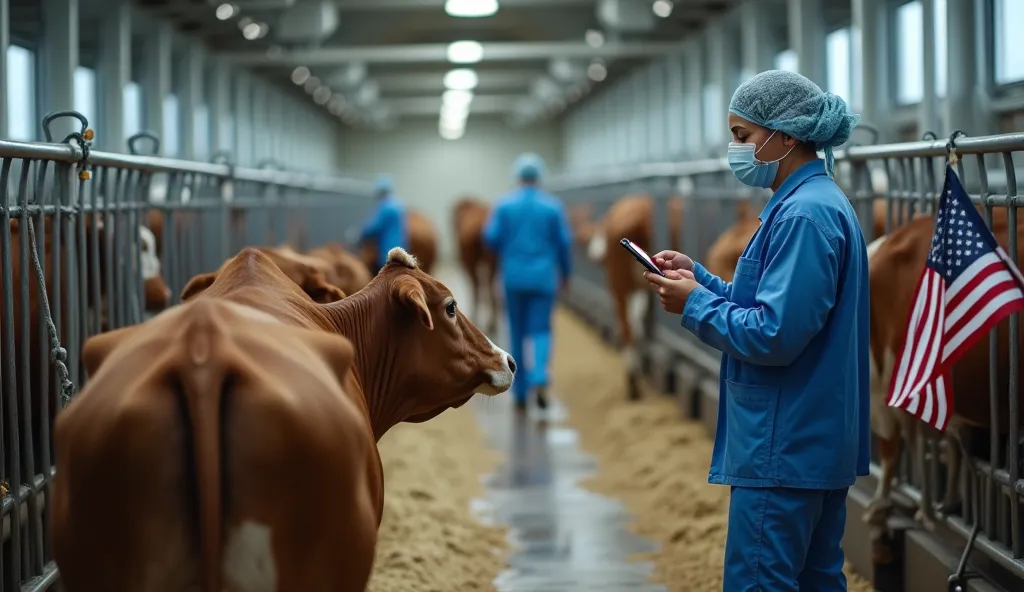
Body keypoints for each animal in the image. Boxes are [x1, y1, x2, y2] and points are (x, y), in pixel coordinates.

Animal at [581, 194, 684, 401]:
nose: (594, 256)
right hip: (621, 283)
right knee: (631, 326)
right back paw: (634, 382)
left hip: (618, 282)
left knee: (628, 325)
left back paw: (632, 383)